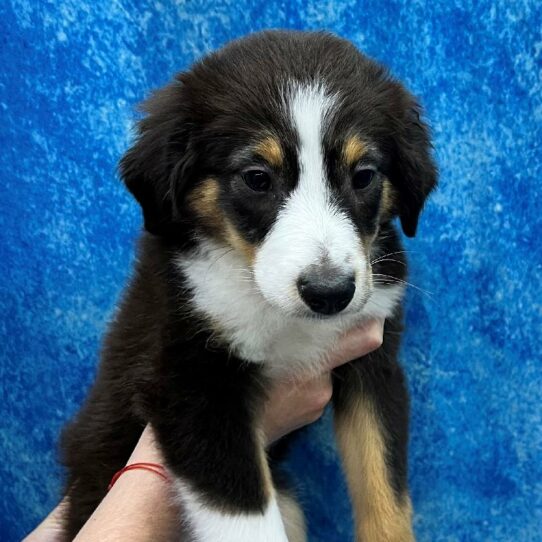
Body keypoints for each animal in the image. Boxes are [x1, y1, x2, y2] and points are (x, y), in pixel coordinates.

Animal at [61, 29, 440, 542]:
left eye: (363, 176)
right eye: (257, 178)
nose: (328, 293)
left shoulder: (373, 363)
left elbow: (386, 493)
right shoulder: (191, 380)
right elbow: (246, 518)